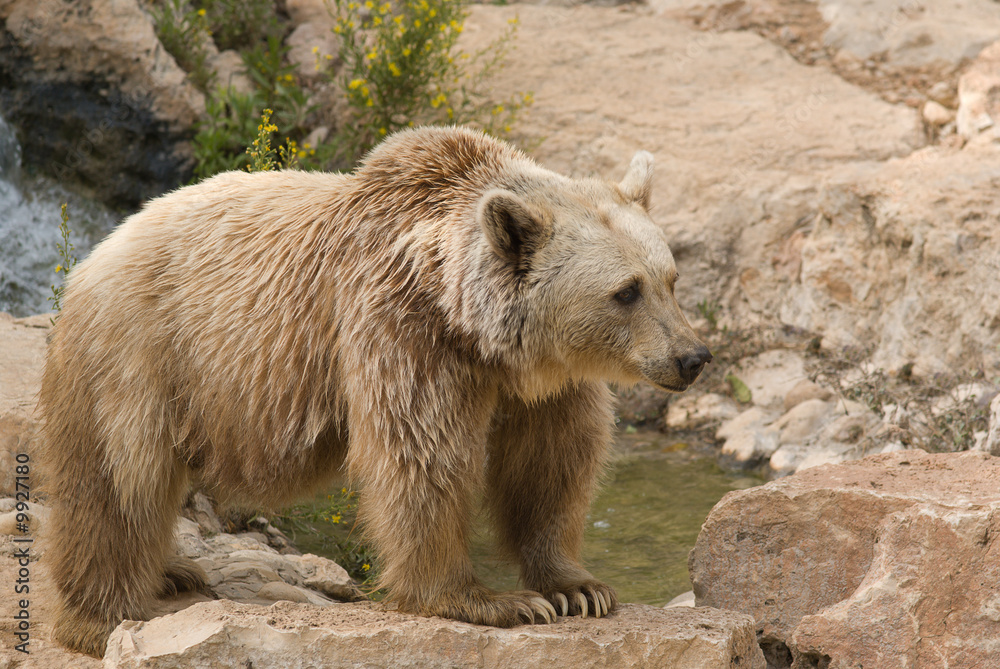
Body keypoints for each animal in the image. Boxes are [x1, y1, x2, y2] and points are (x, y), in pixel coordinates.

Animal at [38, 126, 712, 657]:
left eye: (671, 279)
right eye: (625, 291)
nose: (693, 357)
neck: (467, 320)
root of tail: (98, 250)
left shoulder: (541, 384)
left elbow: (550, 464)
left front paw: (577, 588)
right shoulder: (399, 329)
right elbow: (421, 457)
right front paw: (493, 600)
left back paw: (170, 572)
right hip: (141, 356)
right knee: (121, 483)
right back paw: (104, 617)